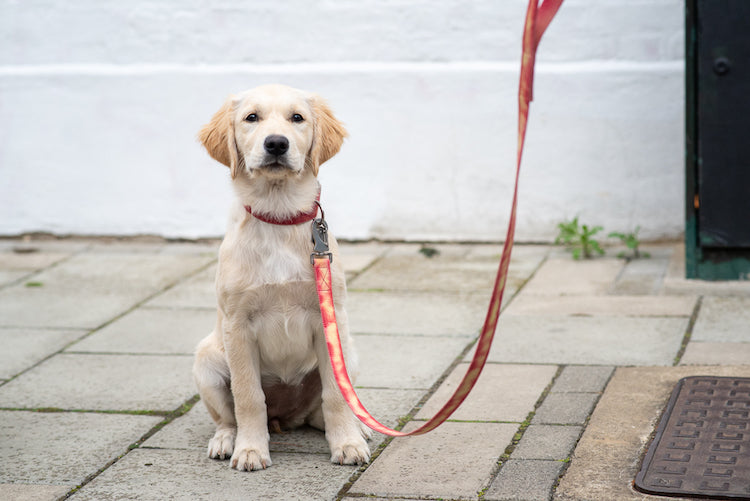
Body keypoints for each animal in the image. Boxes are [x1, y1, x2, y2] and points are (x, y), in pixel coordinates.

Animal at [194, 84, 370, 470]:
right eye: (251, 118)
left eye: (297, 118)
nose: (276, 143)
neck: (278, 216)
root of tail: (286, 417)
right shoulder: (238, 325)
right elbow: (248, 396)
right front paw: (250, 450)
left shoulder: (330, 319)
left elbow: (335, 396)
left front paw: (347, 443)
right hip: (207, 361)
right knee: (228, 416)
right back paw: (227, 440)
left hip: (349, 352)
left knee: (324, 407)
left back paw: (358, 428)